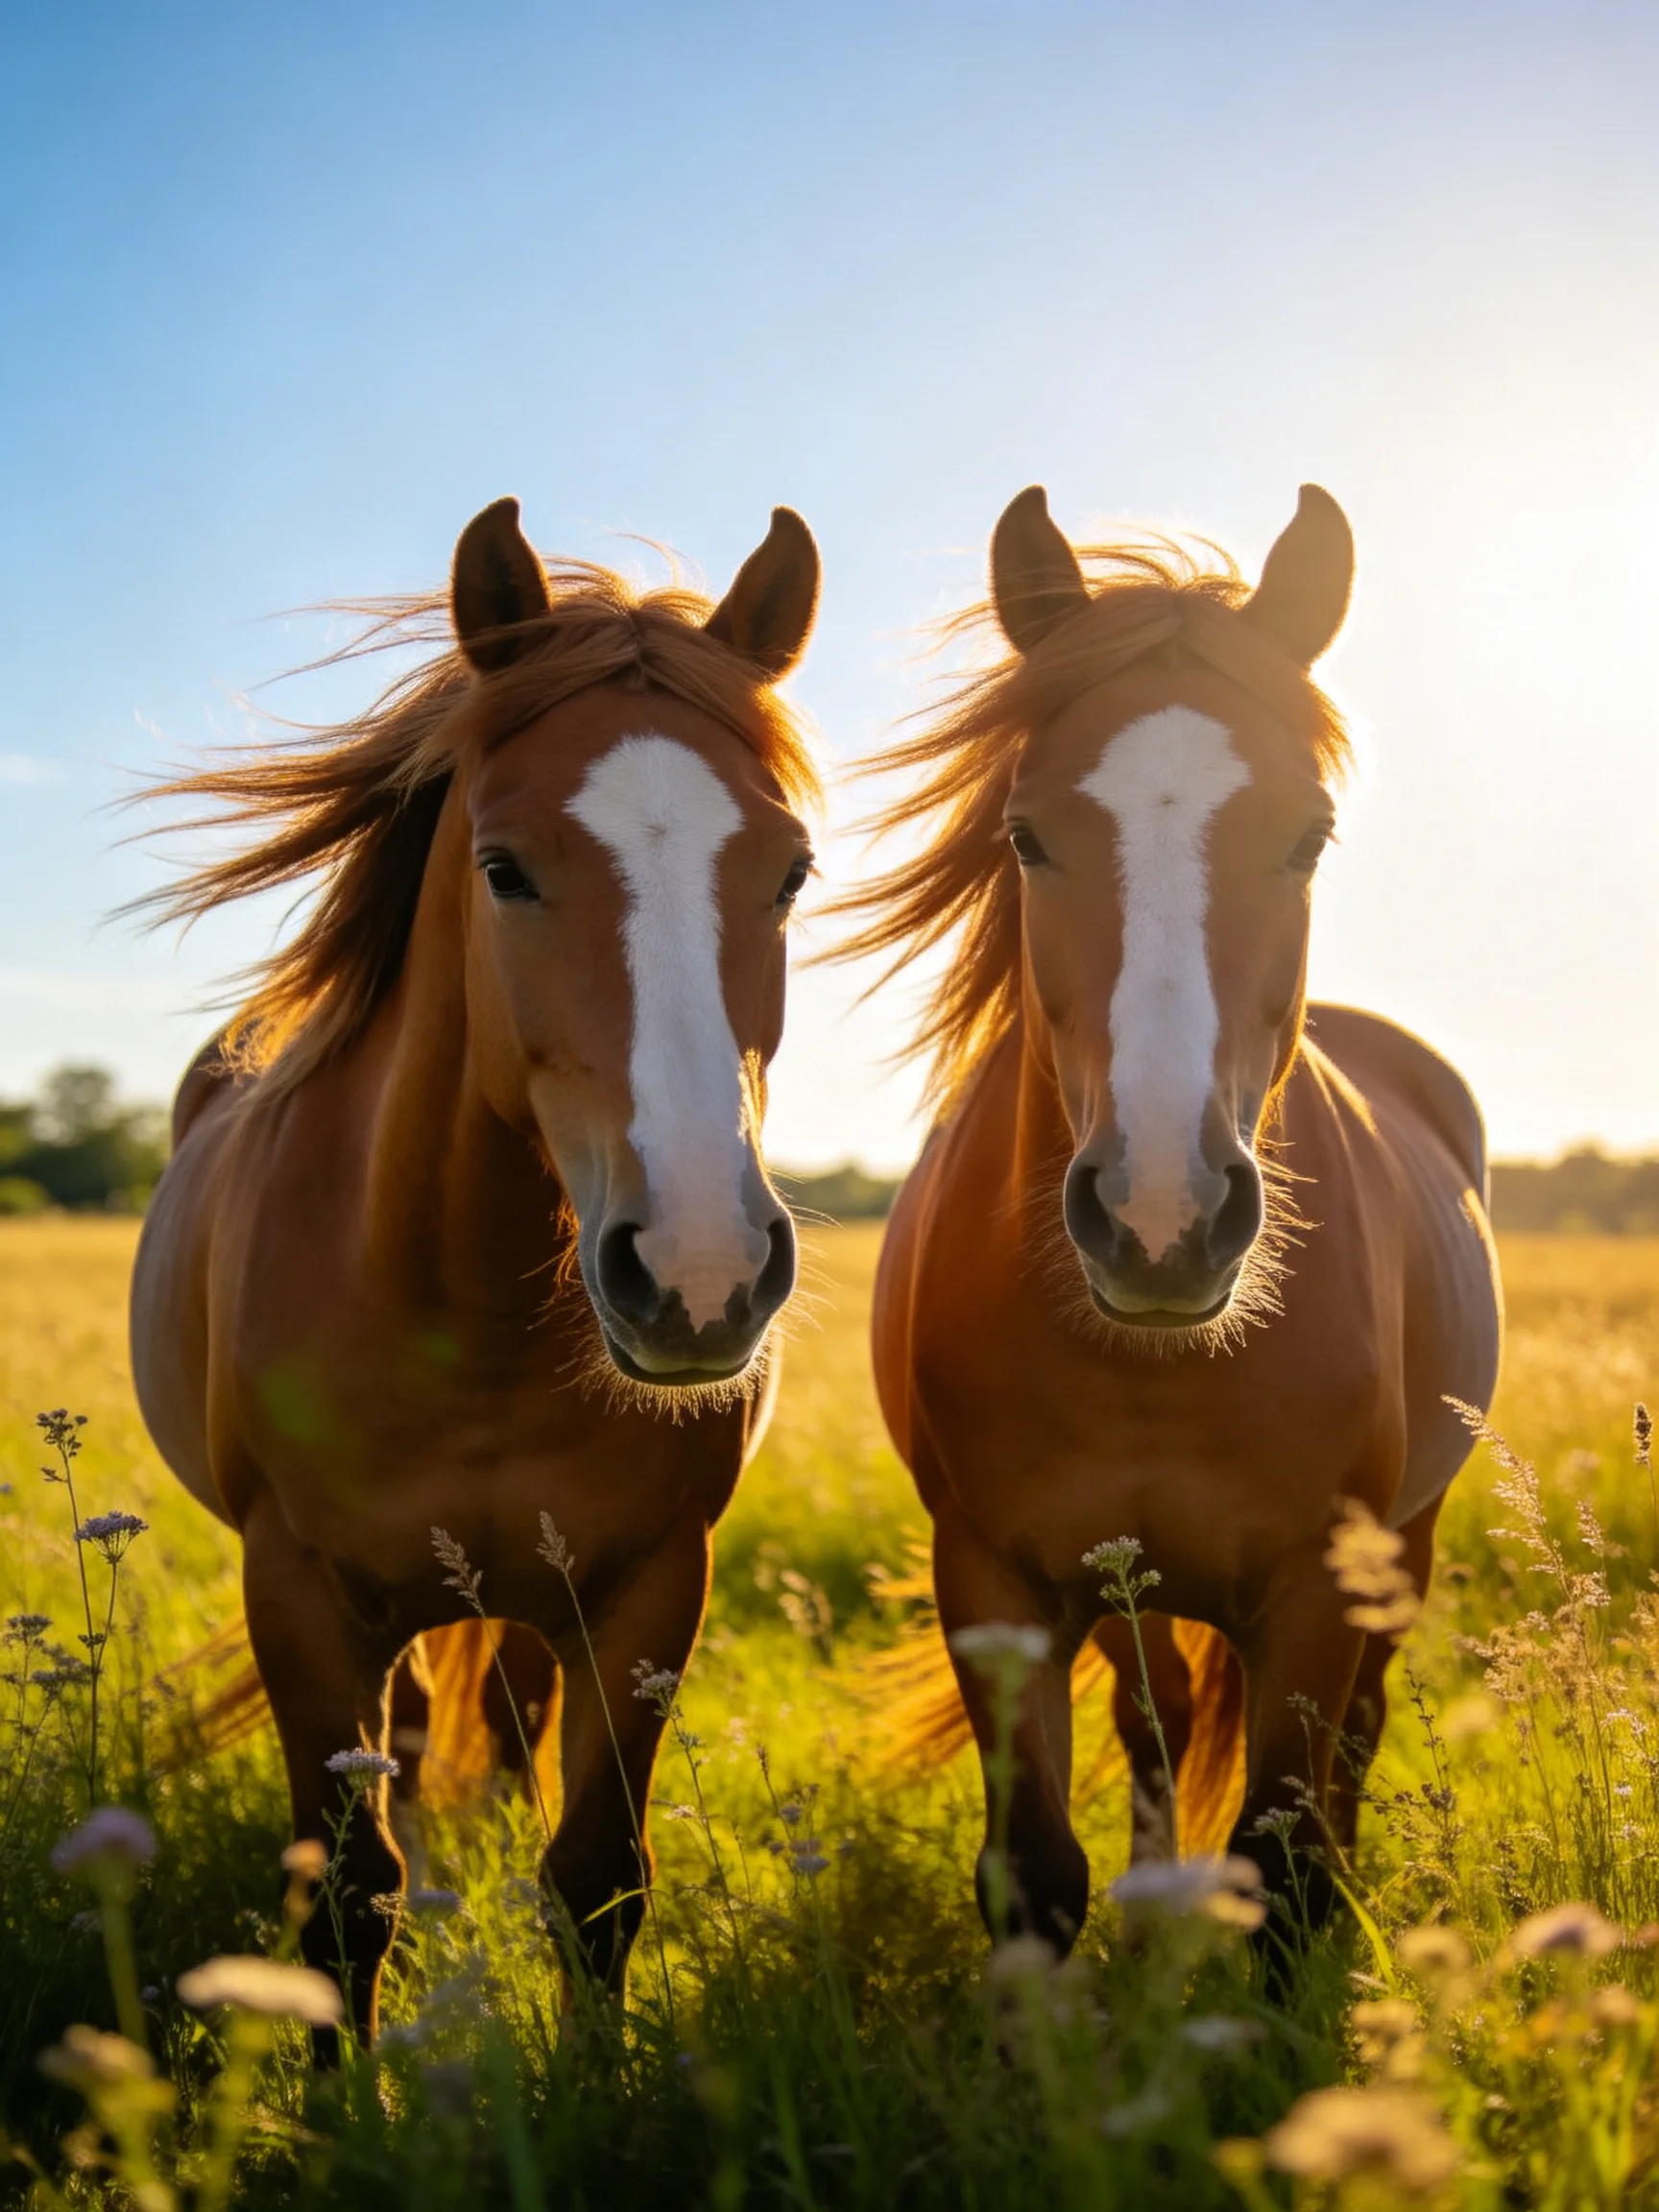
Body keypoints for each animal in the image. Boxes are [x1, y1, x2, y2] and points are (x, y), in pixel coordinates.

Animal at [129, 496, 822, 2044]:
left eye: (793, 870)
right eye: (504, 868)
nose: (699, 1269)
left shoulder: (646, 1590)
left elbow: (599, 1882)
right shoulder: (300, 1597)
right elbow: (351, 1898)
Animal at [839, 484, 1501, 1958]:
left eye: (1309, 836)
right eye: (1027, 836)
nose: (1158, 1215)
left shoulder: (1319, 1589)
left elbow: (1286, 1860)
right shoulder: (999, 1583)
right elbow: (1034, 1866)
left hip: (1407, 1546)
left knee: (1353, 1737)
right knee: (1160, 1721)